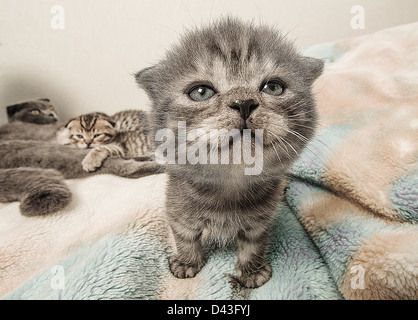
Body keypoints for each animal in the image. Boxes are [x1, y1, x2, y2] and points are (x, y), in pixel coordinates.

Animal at [137, 16, 324, 288]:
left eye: (273, 87)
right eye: (201, 92)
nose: (243, 102)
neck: (229, 187)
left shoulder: (261, 220)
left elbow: (254, 244)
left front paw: (251, 270)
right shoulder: (178, 207)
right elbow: (184, 236)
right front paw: (187, 262)